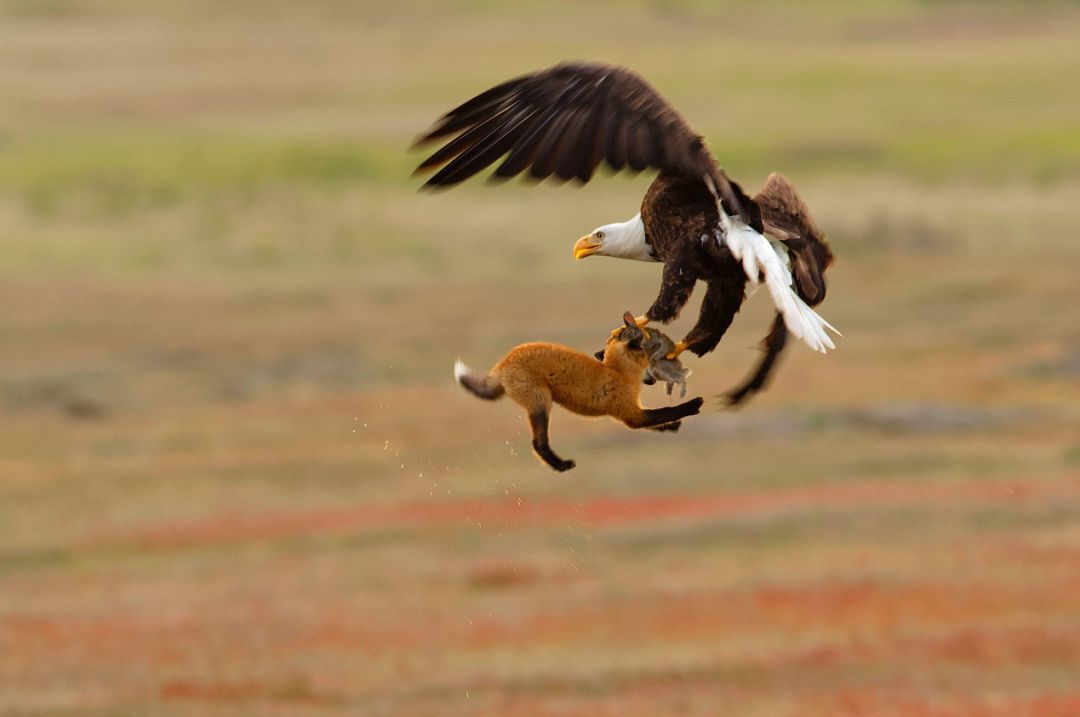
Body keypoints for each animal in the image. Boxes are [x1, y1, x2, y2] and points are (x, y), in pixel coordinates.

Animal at [451, 313, 704, 470]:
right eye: (649, 359)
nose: (651, 379)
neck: (617, 372)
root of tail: (503, 362)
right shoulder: (630, 414)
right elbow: (666, 411)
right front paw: (693, 405)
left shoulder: (633, 413)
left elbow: (657, 421)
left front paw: (672, 427)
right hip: (541, 403)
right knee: (538, 444)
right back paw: (561, 465)